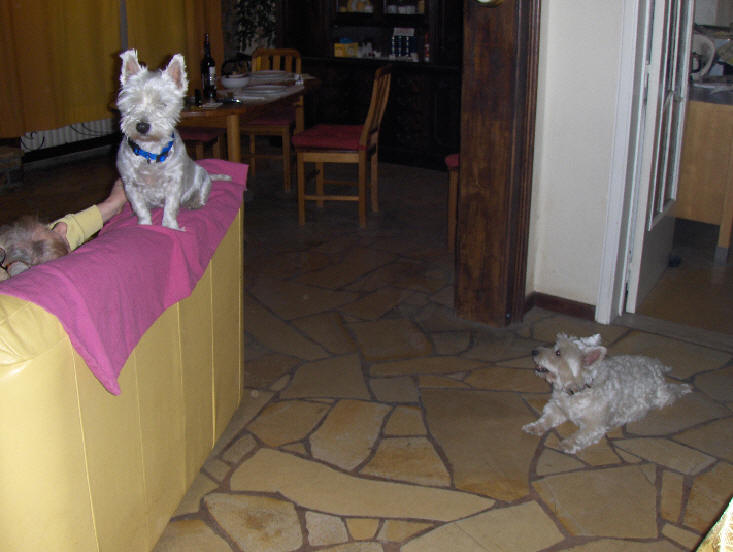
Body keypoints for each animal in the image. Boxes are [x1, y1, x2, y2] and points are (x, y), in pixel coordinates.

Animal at [116, 49, 230, 231]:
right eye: (133, 102)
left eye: (162, 104)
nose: (142, 126)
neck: (150, 151)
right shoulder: (130, 184)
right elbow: (140, 207)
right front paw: (145, 225)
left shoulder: (174, 182)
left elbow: (170, 207)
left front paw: (170, 227)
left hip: (202, 177)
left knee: (202, 192)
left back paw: (195, 202)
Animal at [522, 333, 691, 453]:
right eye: (555, 347)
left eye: (558, 353)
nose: (534, 351)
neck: (577, 390)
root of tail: (656, 365)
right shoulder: (557, 407)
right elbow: (546, 418)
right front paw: (534, 427)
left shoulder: (594, 425)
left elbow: (579, 436)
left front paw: (567, 443)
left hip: (661, 396)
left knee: (673, 392)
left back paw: (685, 387)